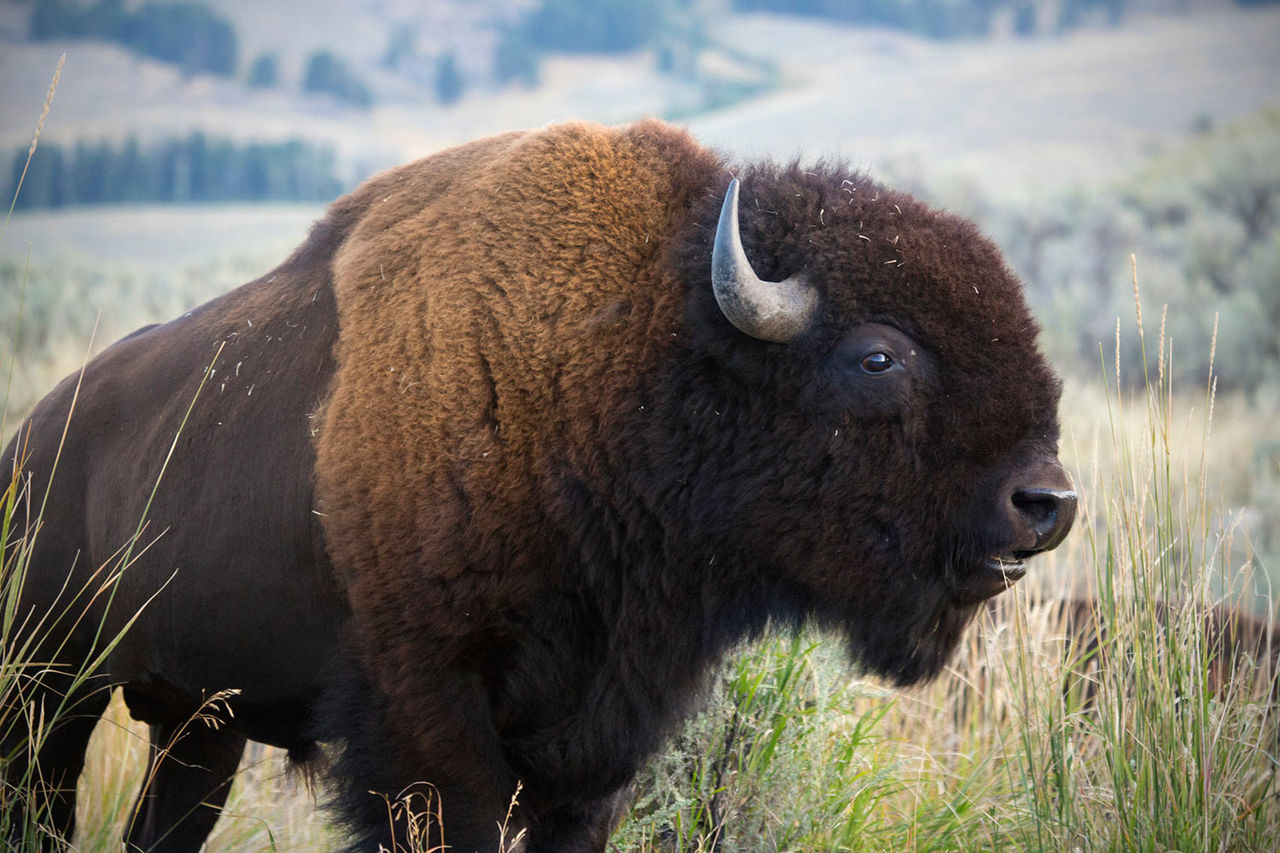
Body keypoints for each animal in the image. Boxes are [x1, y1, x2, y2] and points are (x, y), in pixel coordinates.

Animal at [2, 120, 1075, 852]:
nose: (1049, 503)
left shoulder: (595, 744)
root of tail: (31, 440)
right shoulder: (432, 719)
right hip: (48, 689)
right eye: (878, 357)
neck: (626, 360)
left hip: (197, 724)